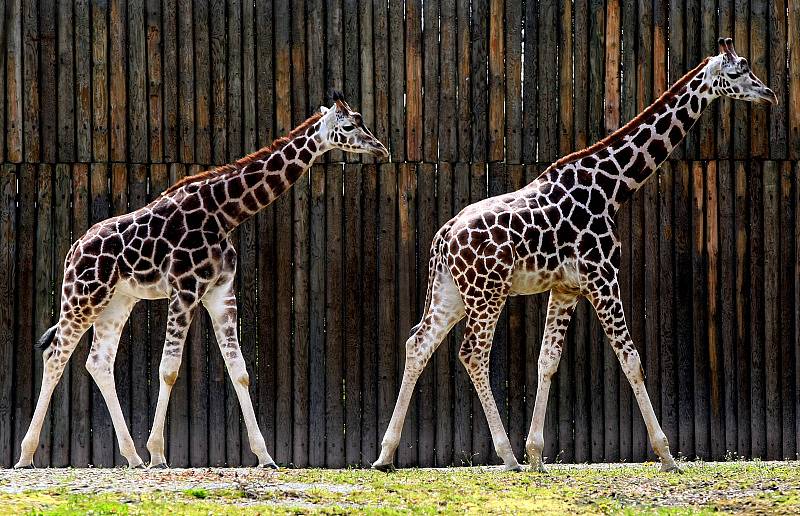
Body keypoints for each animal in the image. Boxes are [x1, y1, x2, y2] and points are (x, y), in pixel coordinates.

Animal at [12, 90, 388, 470]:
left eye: (362, 121)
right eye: (348, 126)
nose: (381, 150)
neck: (224, 214)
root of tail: (73, 249)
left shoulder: (220, 292)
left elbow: (239, 370)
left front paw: (265, 456)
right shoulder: (185, 289)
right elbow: (168, 368)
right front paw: (158, 453)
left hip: (117, 301)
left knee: (98, 362)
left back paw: (132, 457)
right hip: (82, 296)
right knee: (56, 354)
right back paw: (27, 456)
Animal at [374, 38, 776, 474]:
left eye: (749, 68)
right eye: (737, 72)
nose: (769, 94)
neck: (612, 186)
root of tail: (444, 237)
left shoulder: (567, 289)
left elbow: (547, 360)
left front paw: (537, 454)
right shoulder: (603, 278)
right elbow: (631, 358)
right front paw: (667, 455)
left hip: (452, 292)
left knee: (418, 343)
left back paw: (385, 455)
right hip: (487, 292)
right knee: (473, 353)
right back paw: (506, 456)